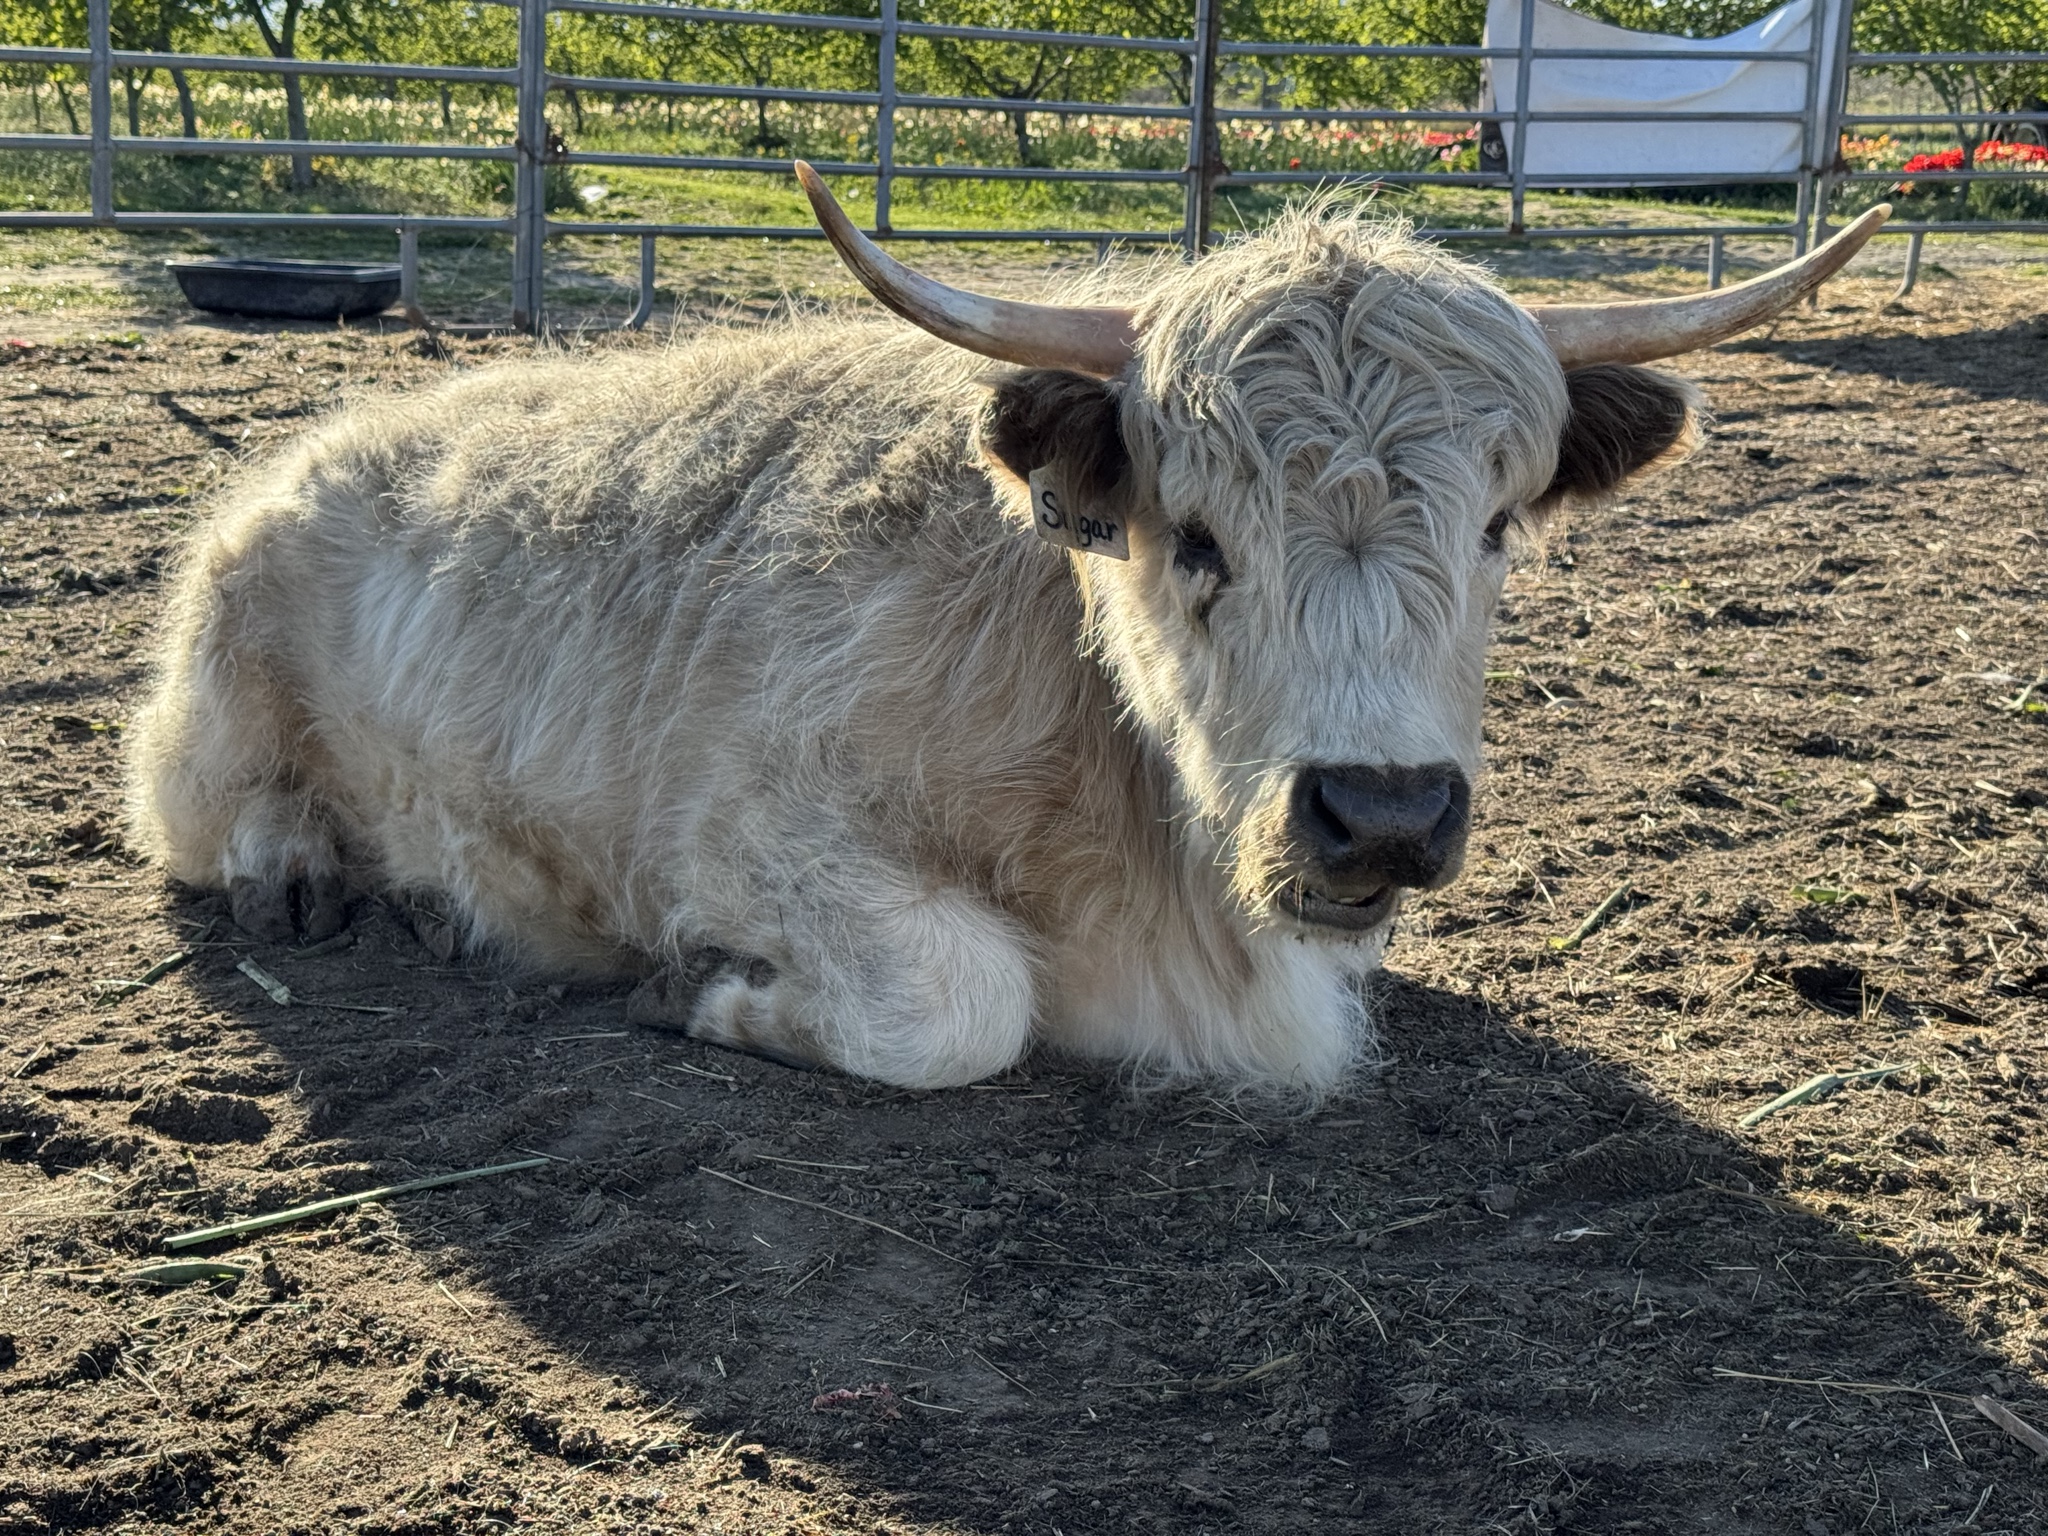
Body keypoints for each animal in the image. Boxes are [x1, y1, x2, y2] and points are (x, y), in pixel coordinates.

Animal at [126, 174, 1888, 1092]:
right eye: (1197, 537)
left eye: (1500, 529)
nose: (1381, 813)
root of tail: (309, 454)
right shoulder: (747, 829)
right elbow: (958, 1007)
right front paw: (702, 994)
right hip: (202, 725)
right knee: (212, 820)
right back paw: (318, 876)